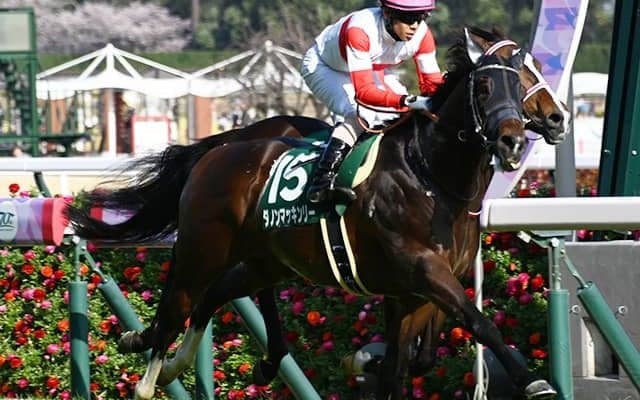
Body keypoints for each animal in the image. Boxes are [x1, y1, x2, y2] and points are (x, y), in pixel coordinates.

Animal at [65, 30, 558, 400]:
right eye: (486, 88)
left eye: (523, 81)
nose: (518, 139)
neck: (432, 176)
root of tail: (218, 150)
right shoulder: (424, 272)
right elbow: (477, 323)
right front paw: (533, 382)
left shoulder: (415, 291)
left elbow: (410, 363)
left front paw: (367, 360)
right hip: (201, 251)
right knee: (177, 308)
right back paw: (150, 378)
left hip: (267, 261)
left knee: (216, 295)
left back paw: (178, 360)